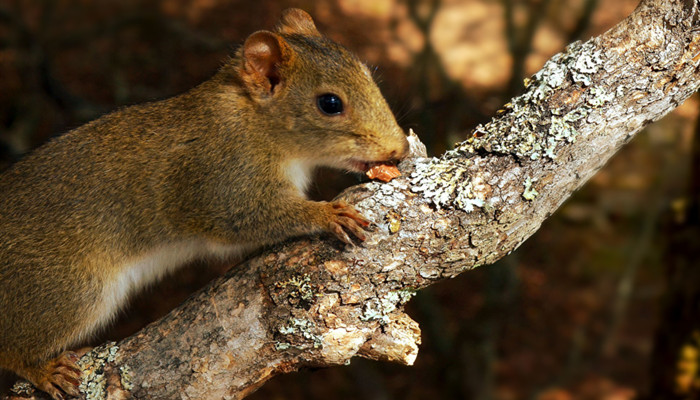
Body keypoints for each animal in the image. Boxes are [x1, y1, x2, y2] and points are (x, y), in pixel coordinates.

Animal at [0, 9, 410, 400]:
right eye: (329, 103)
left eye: (367, 72)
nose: (399, 150)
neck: (255, 122)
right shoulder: (221, 181)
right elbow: (247, 219)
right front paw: (326, 213)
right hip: (66, 289)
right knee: (12, 348)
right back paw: (43, 370)